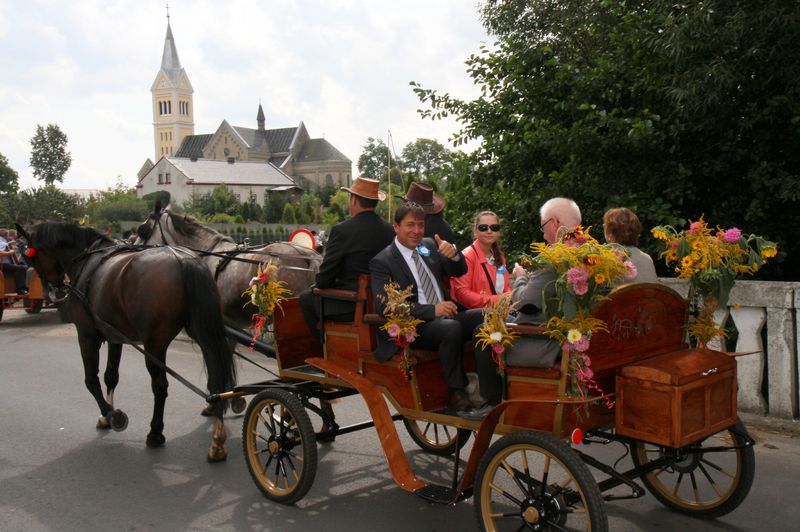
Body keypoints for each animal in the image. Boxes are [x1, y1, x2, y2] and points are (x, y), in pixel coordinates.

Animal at [17, 220, 236, 462]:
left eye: (31, 256)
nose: (51, 291)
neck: (87, 259)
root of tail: (183, 259)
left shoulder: (86, 334)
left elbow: (91, 380)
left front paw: (111, 414)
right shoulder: (115, 336)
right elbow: (111, 376)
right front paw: (106, 415)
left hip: (155, 343)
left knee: (160, 386)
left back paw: (155, 432)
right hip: (202, 332)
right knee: (216, 381)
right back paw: (217, 439)